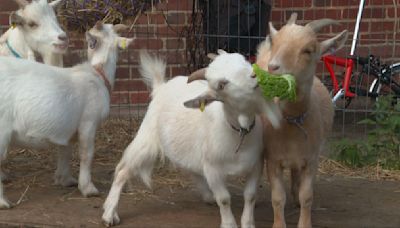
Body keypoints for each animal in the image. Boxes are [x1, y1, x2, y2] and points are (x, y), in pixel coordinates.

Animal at [0, 21, 134, 208]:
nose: (97, 24)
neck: (97, 74)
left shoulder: (67, 128)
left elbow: (65, 151)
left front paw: (65, 179)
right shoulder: (88, 122)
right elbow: (86, 154)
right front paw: (88, 189)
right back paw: (3, 202)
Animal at [101, 50, 282, 227]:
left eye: (244, 61)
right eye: (221, 84)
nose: (256, 76)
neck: (238, 135)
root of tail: (161, 87)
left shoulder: (256, 165)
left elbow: (250, 196)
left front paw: (248, 223)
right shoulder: (213, 169)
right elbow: (224, 199)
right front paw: (229, 224)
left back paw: (208, 196)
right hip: (147, 139)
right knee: (122, 171)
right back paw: (109, 213)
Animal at [256, 13, 346, 228]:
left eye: (308, 50)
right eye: (276, 42)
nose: (273, 67)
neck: (292, 122)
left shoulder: (312, 159)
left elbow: (307, 196)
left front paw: (304, 221)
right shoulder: (272, 159)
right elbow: (277, 197)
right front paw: (278, 224)